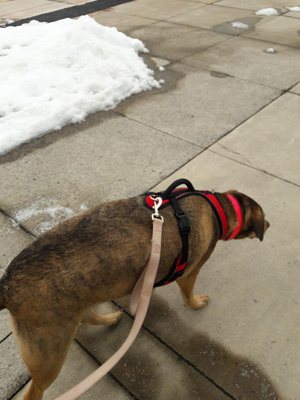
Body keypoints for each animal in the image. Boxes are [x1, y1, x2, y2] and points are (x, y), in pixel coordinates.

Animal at [0, 182, 270, 400]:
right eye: (264, 217)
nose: (269, 224)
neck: (218, 208)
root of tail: (6, 285)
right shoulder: (190, 273)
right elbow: (189, 294)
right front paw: (196, 303)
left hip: (70, 314)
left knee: (88, 316)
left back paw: (109, 319)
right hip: (49, 351)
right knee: (34, 391)